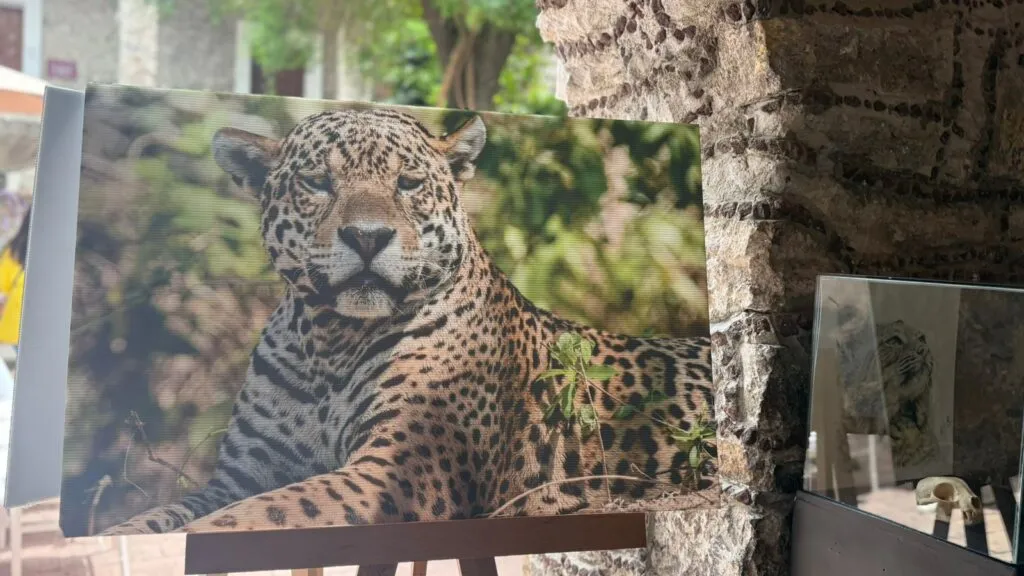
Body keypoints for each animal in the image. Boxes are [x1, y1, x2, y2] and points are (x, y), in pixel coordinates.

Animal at [100, 107, 715, 535]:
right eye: (319, 183)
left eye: (409, 184)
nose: (368, 236)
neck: (329, 343)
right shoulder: (240, 475)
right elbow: (163, 517)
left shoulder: (399, 469)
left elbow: (259, 515)